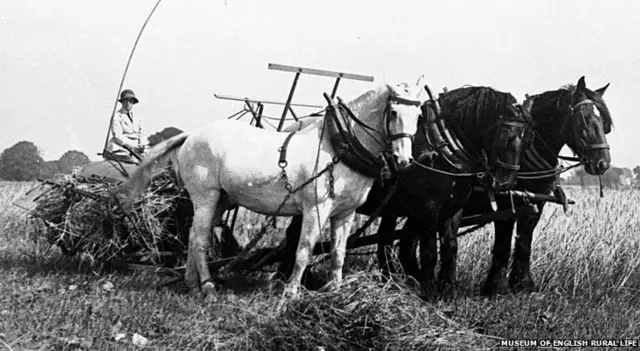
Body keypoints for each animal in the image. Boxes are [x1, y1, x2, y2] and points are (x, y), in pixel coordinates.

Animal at [122, 81, 428, 298]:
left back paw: (192, 283)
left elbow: (338, 253)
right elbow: (304, 249)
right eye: (393, 112)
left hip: (221, 200)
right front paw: (291, 291)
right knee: (199, 240)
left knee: (195, 235)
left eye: (419, 114)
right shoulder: (315, 210)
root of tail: (191, 135)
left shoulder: (345, 214)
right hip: (205, 197)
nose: (403, 159)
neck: (339, 146)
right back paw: (208, 286)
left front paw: (335, 291)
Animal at [280, 86, 536, 294]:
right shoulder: (428, 210)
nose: (506, 183)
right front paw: (426, 288)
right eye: (506, 136)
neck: (442, 144)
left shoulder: (453, 208)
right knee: (294, 235)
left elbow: (450, 246)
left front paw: (447, 288)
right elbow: (430, 251)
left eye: (528, 140)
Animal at [398, 75, 612, 296]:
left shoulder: (535, 205)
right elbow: (503, 245)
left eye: (605, 124)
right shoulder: (505, 204)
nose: (602, 163)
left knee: (407, 241)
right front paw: (494, 286)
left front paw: (523, 284)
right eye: (583, 119)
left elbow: (524, 241)